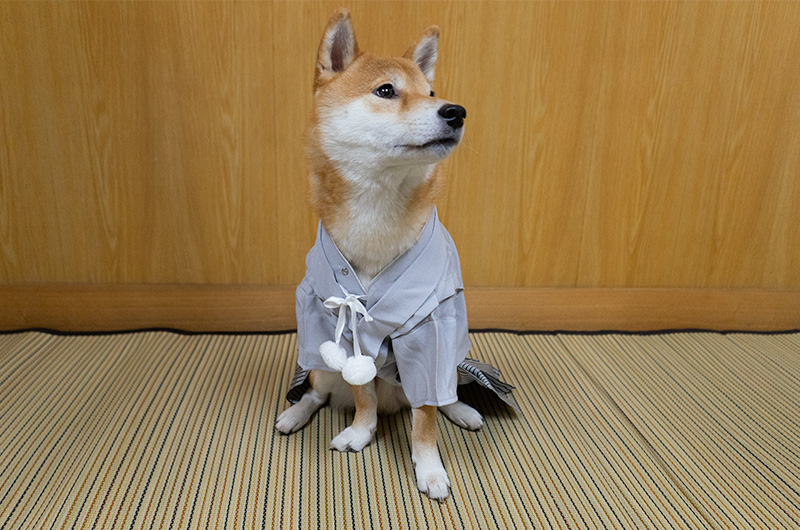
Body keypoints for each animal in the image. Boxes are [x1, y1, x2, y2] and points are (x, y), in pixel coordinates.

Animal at [276, 10, 482, 502]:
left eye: (431, 93)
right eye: (386, 91)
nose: (456, 111)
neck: (376, 217)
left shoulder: (431, 332)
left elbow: (425, 418)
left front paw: (429, 468)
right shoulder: (343, 322)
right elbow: (362, 392)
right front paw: (361, 431)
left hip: (449, 360)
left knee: (444, 394)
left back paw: (462, 411)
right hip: (319, 360)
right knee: (317, 390)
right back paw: (294, 415)